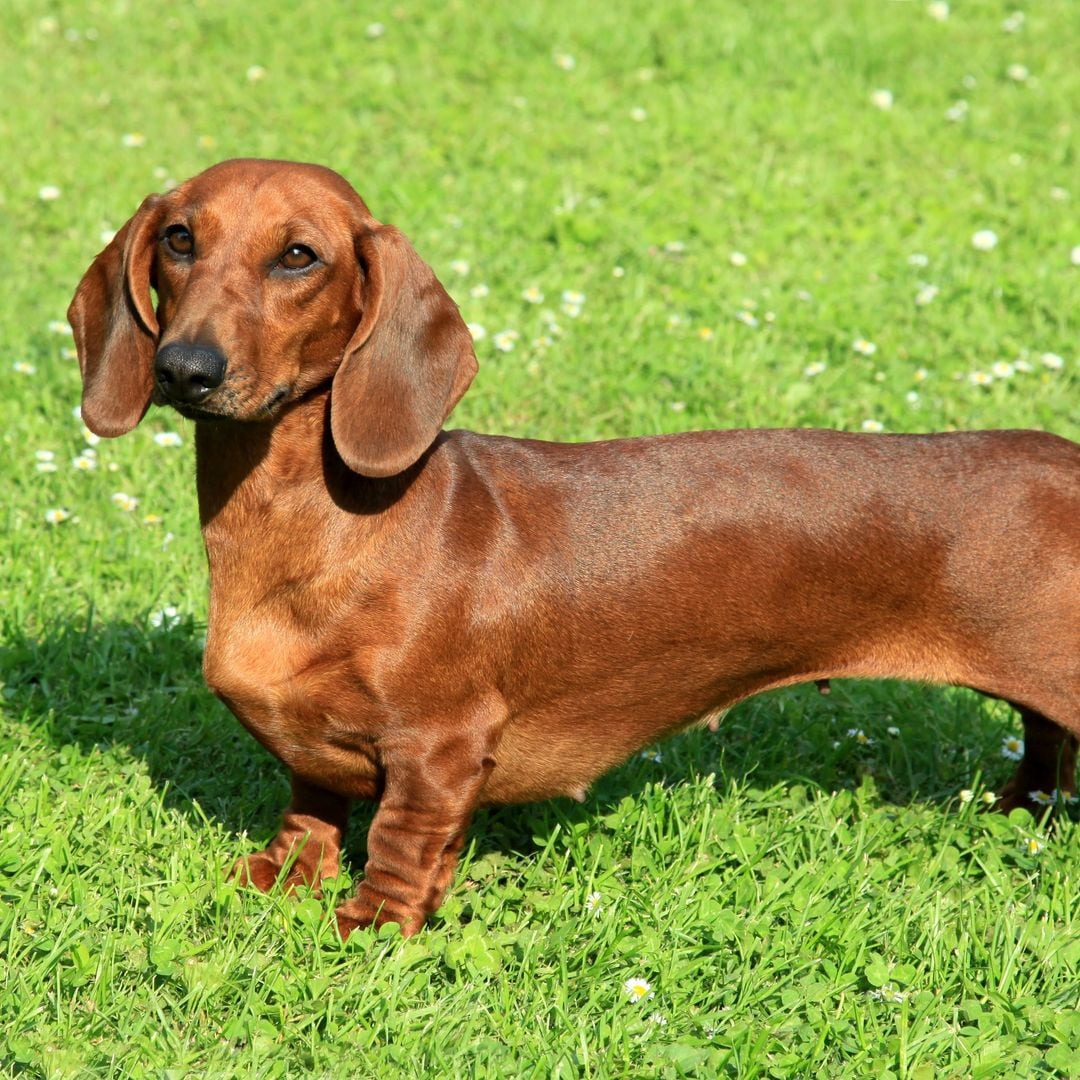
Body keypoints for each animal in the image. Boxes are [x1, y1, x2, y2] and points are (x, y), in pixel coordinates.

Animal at [69, 159, 1080, 937]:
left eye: (298, 256)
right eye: (179, 240)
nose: (183, 368)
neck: (316, 527)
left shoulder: (441, 746)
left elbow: (401, 841)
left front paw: (369, 925)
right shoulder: (314, 750)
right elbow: (311, 804)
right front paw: (279, 877)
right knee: (1043, 750)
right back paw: (1014, 816)